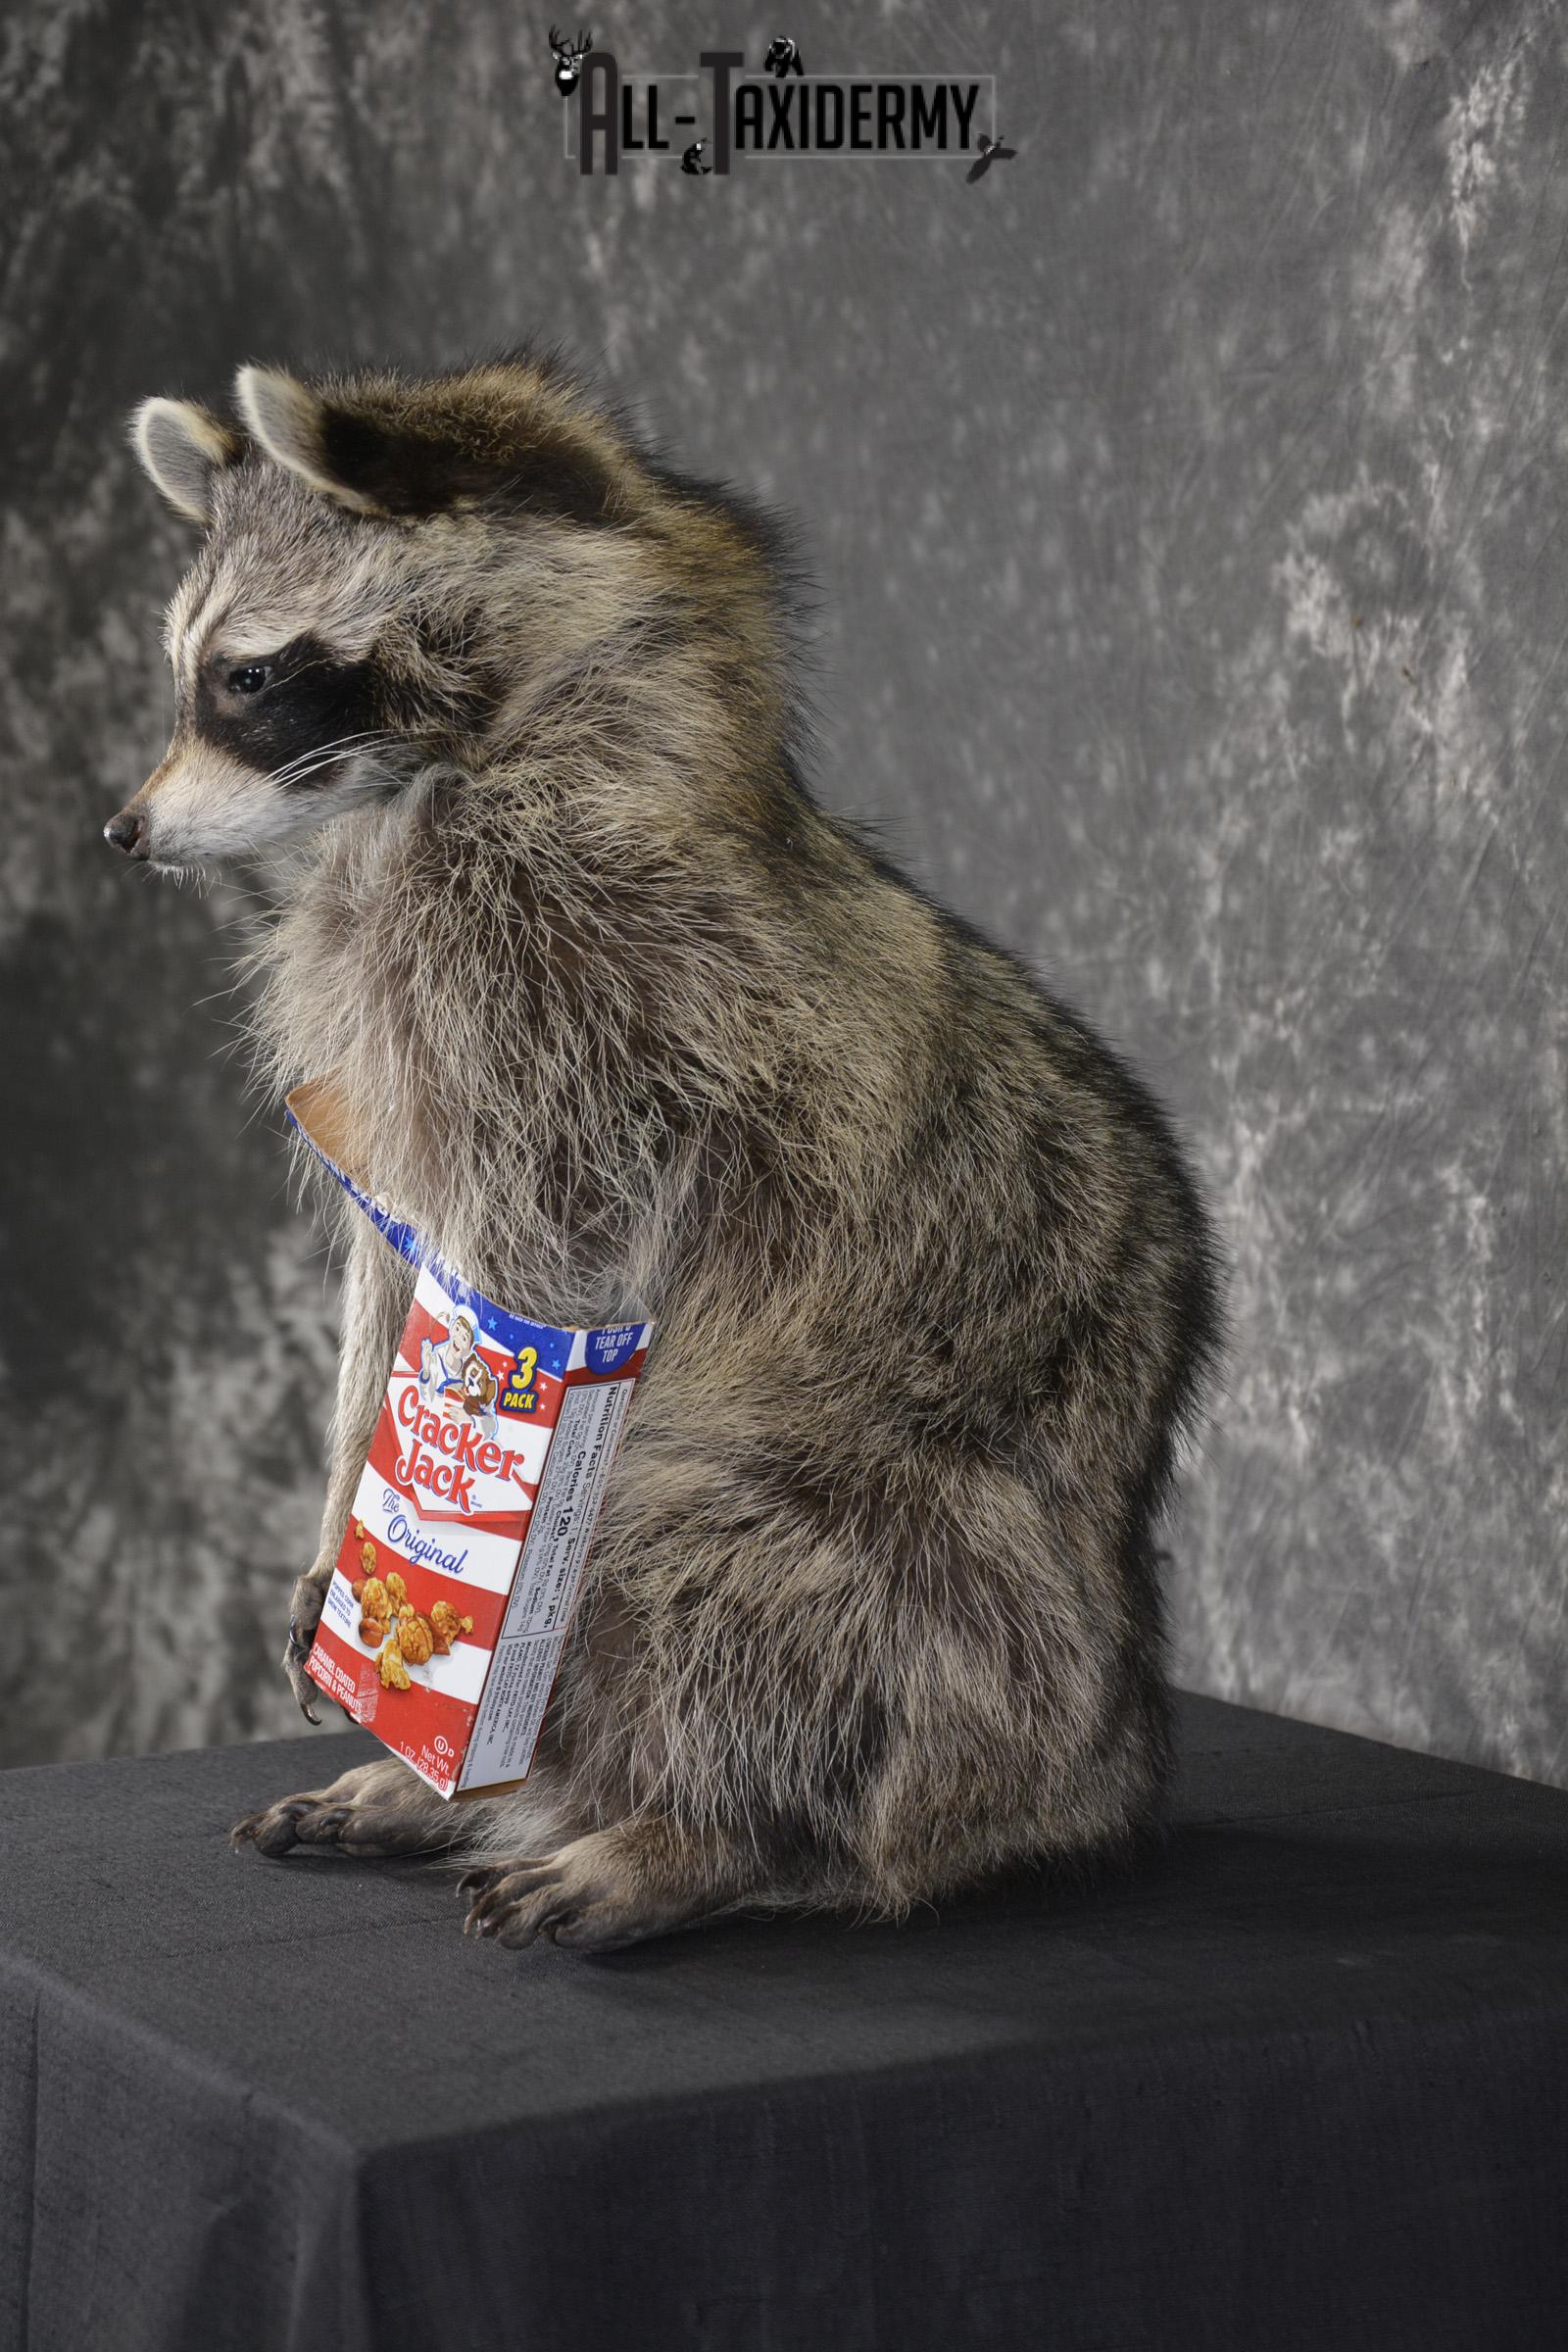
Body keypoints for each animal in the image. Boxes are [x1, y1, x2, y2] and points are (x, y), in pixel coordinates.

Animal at [108, 355, 1223, 1953]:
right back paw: (482, 1787)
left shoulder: (601, 1018)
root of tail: (1101, 1755)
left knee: (725, 1581)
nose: (121, 830)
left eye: (245, 677)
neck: (437, 779)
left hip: (915, 1548)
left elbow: (517, 1273)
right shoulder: (391, 1038)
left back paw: (701, 1829)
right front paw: (348, 1499)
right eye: (188, 665)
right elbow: (387, 1262)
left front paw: (446, 1486)